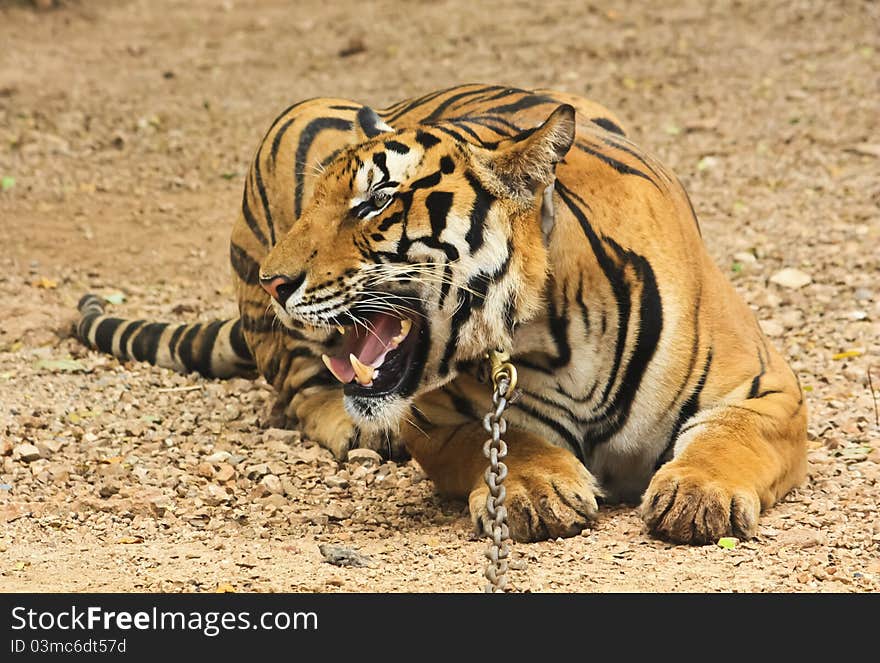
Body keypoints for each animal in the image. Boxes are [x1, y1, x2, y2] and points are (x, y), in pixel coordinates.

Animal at [79, 83, 808, 544]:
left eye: (375, 202)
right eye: (320, 201)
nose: (275, 279)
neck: (554, 335)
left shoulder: (770, 390)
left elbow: (728, 436)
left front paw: (698, 494)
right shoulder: (436, 420)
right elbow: (505, 441)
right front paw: (540, 489)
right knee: (300, 383)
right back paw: (357, 428)